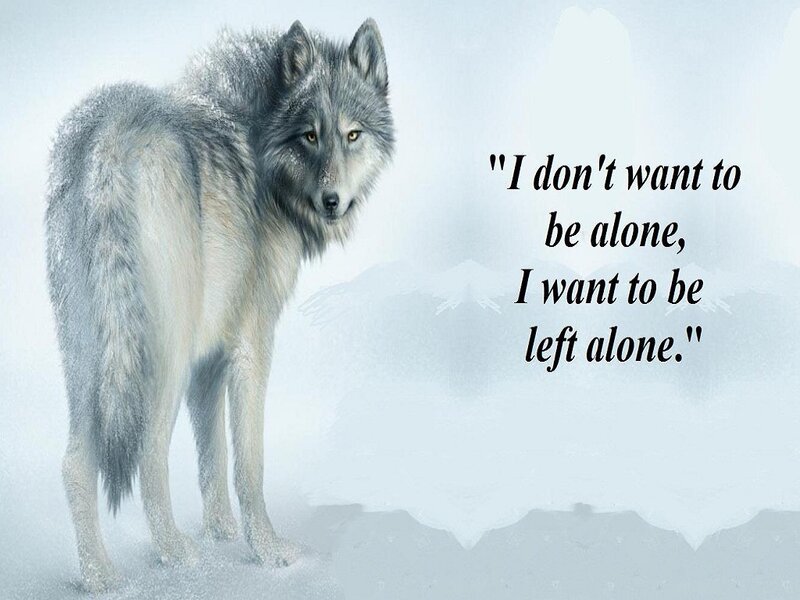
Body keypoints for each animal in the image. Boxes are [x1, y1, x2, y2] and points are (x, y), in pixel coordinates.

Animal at [45, 19, 394, 592]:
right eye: (311, 135)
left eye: (352, 134)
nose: (332, 201)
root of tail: (112, 134)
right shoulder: (252, 341)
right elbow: (247, 463)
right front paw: (267, 551)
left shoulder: (209, 360)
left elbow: (212, 456)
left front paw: (221, 533)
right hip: (163, 354)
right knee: (148, 453)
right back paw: (173, 554)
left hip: (88, 359)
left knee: (76, 462)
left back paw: (101, 578)